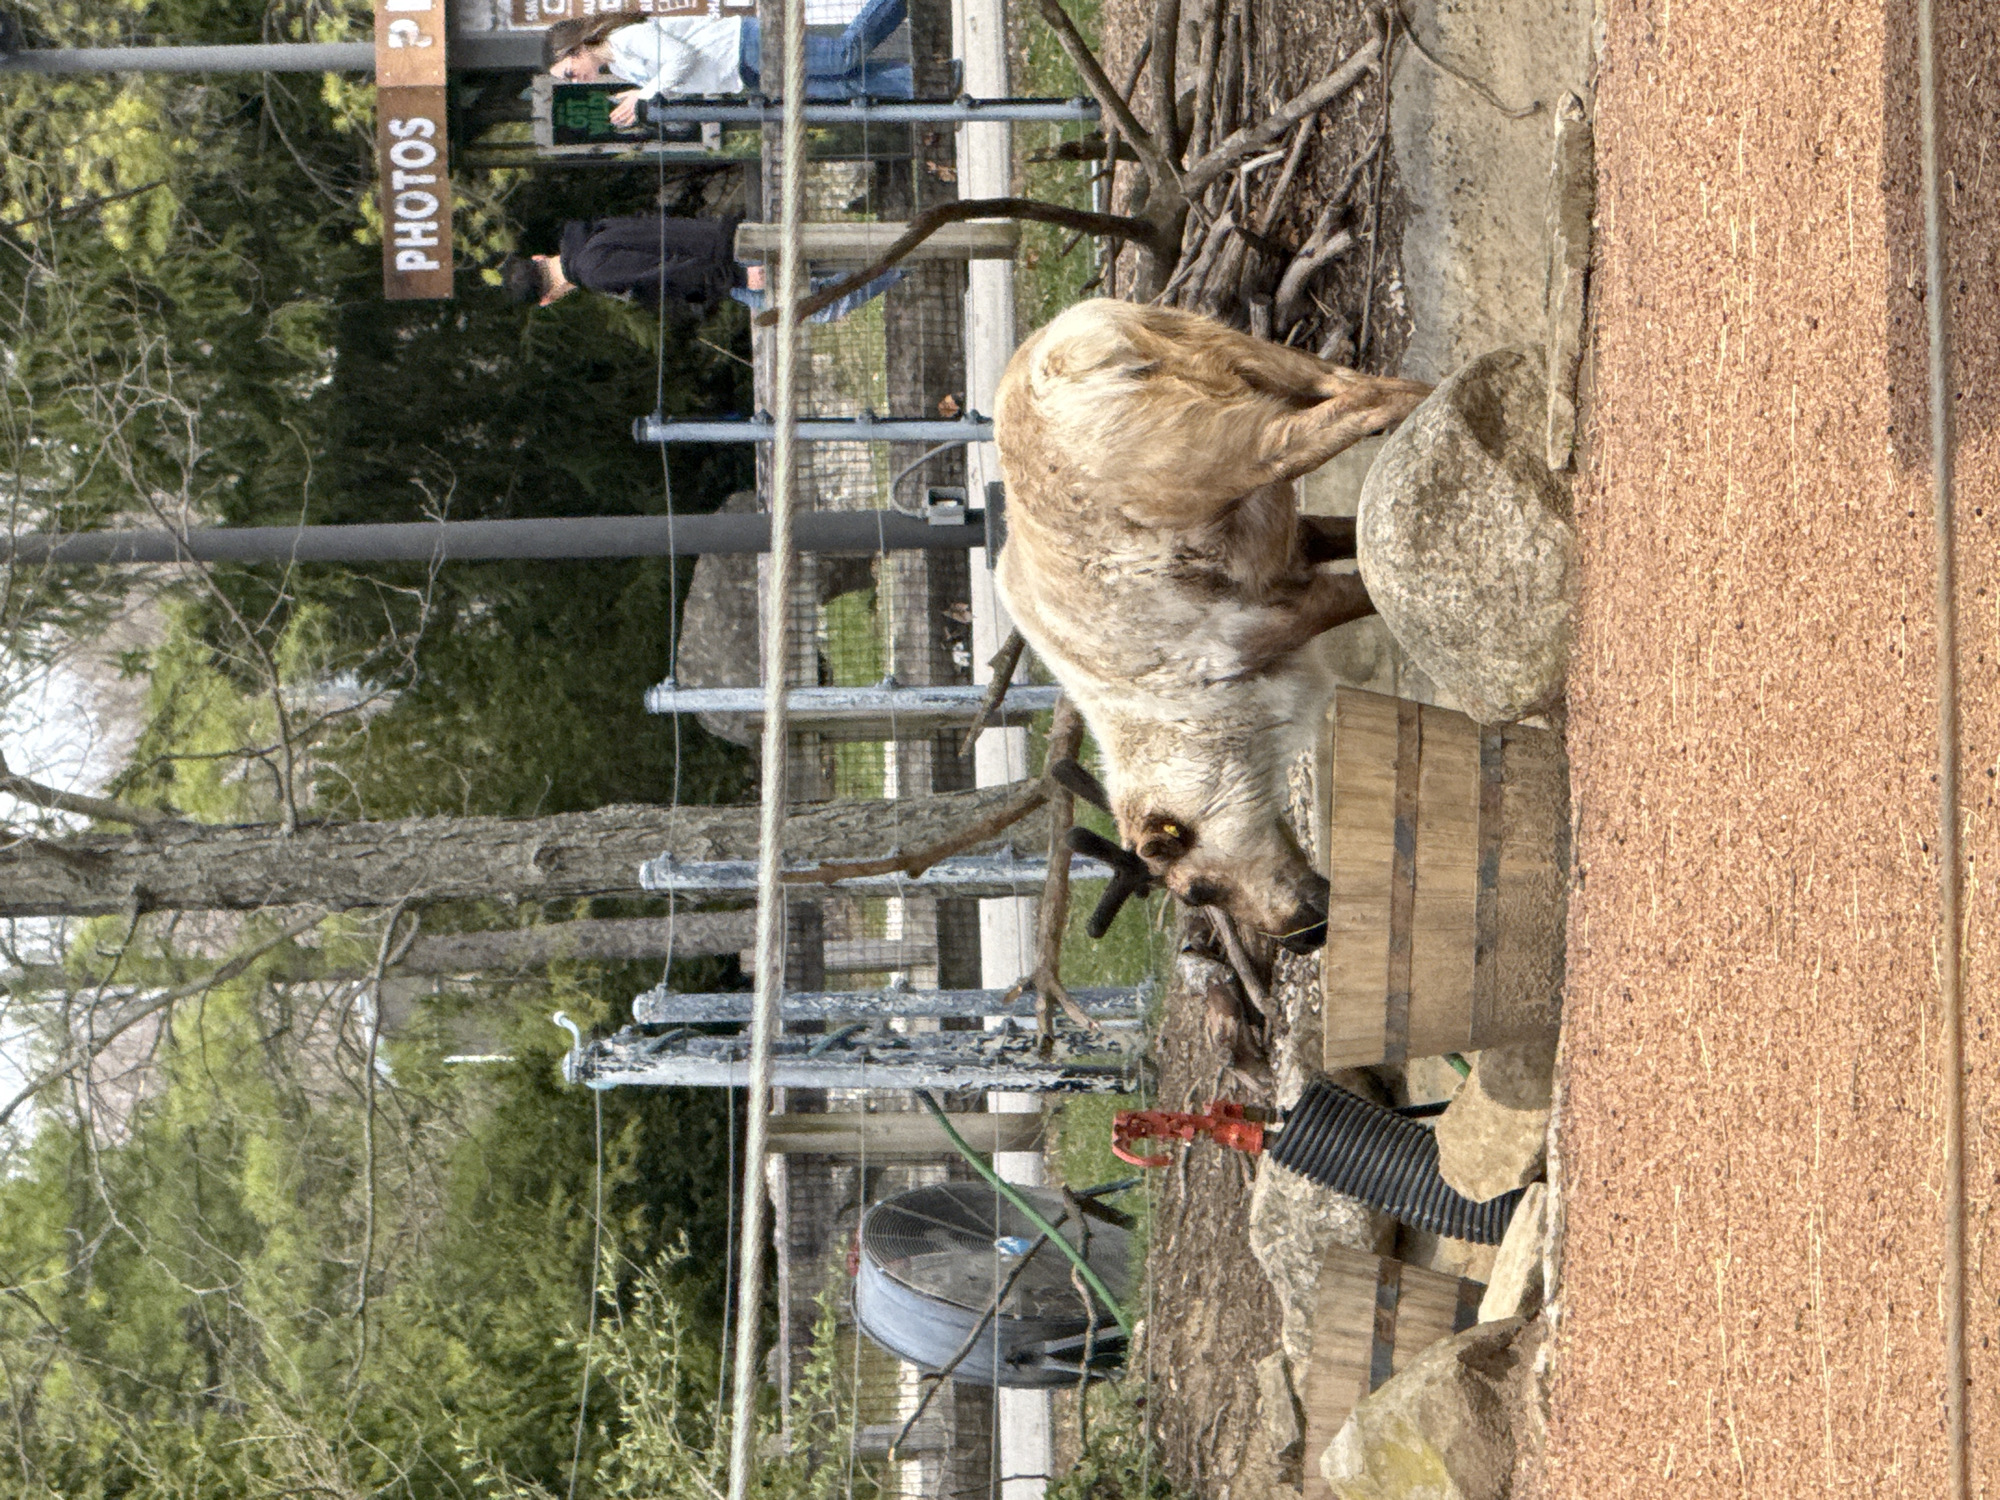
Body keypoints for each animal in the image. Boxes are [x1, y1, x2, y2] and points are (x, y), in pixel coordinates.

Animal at [992, 299, 1430, 956]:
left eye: (1196, 890)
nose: (1304, 936)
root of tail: (1078, 350)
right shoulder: (1292, 551)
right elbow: (1351, 535)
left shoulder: (1274, 617)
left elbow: (1366, 587)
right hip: (1244, 357)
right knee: (1361, 383)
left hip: (1221, 452)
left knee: (1352, 409)